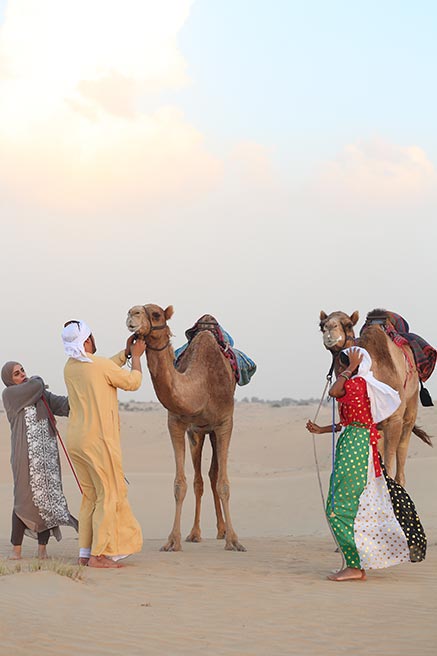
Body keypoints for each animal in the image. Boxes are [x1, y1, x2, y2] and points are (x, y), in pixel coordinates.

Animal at [126, 304, 245, 552]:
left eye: (156, 314)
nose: (132, 314)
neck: (202, 385)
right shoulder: (178, 424)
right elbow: (180, 484)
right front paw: (173, 540)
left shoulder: (225, 423)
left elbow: (224, 484)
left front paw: (234, 540)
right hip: (199, 433)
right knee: (201, 480)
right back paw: (196, 533)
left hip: (213, 431)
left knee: (214, 475)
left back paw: (223, 531)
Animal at [316, 308, 430, 486]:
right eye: (322, 325)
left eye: (348, 324)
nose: (329, 328)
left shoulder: (394, 420)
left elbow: (388, 468)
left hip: (411, 405)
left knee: (402, 452)